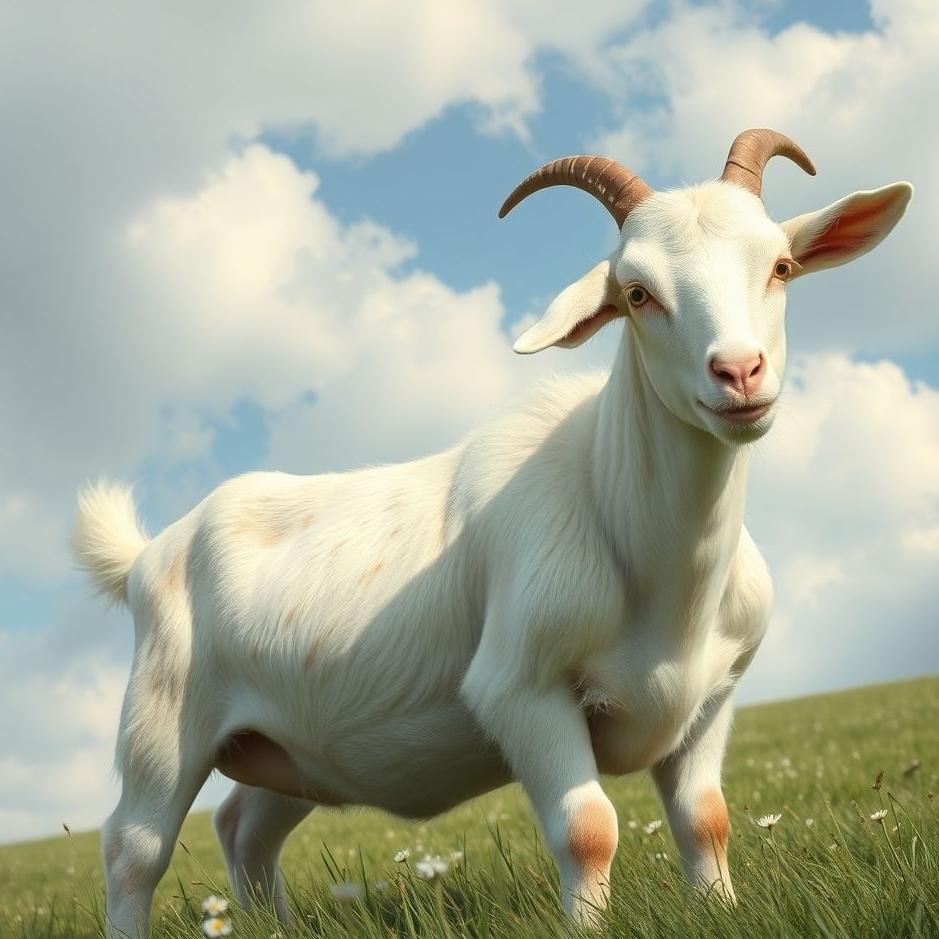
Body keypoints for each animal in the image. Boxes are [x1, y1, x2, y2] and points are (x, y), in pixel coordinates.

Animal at [74, 129, 911, 937]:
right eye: (637, 293)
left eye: (780, 266)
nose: (737, 372)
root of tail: (147, 554)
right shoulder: (519, 687)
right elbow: (588, 828)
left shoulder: (712, 697)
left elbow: (707, 819)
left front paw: (719, 910)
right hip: (160, 721)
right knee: (132, 847)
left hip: (291, 747)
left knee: (244, 825)